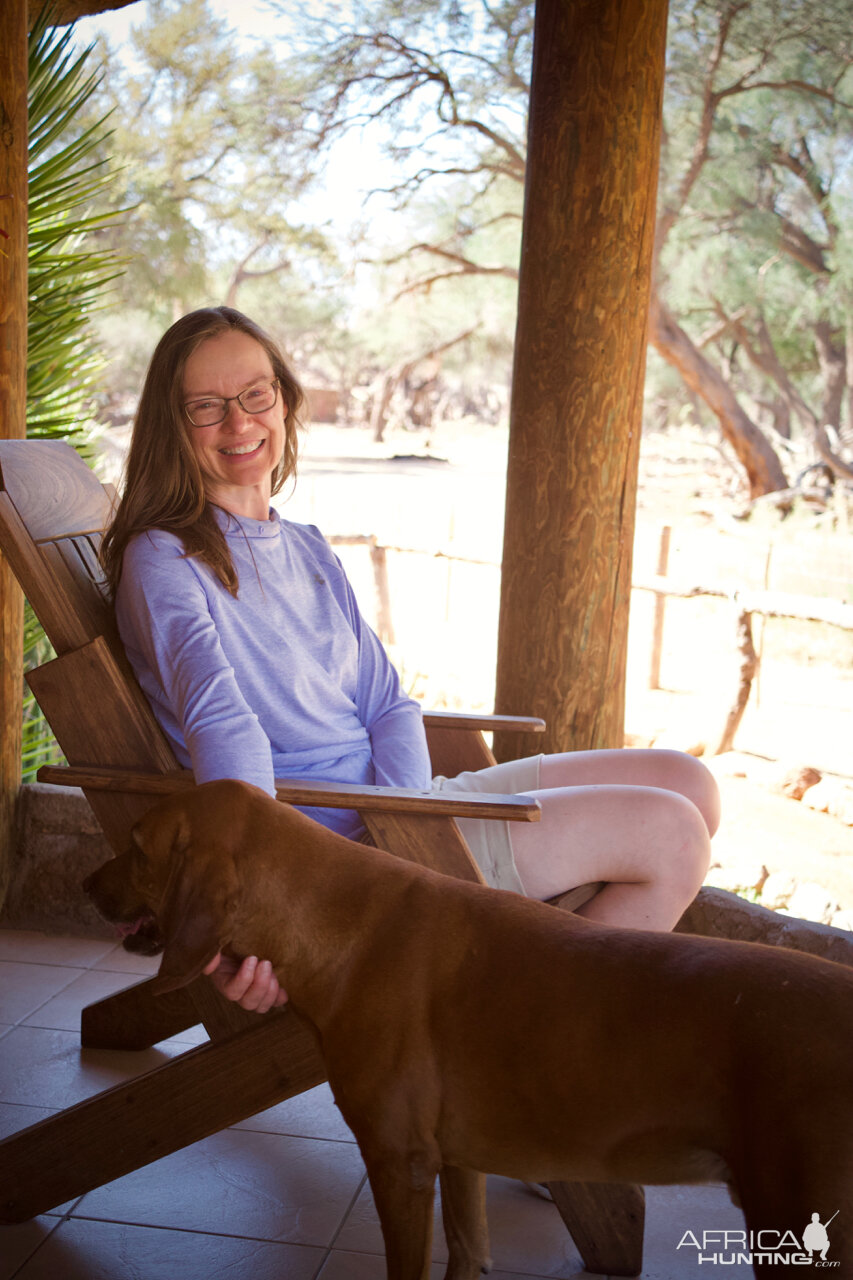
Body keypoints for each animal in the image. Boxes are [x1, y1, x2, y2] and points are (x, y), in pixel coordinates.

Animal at [84, 773, 850, 1274]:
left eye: (137, 843)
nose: (86, 885)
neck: (344, 927)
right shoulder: (460, 1160)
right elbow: (468, 1250)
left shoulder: (399, 1163)